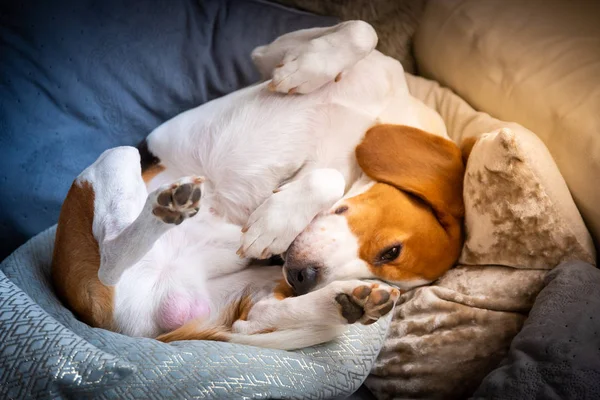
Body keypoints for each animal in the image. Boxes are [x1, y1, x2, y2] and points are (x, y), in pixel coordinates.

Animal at [51, 20, 464, 348]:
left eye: (383, 263)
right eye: (391, 251)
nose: (301, 278)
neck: (385, 110)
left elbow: (328, 176)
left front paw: (274, 223)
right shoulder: (269, 54)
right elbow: (362, 30)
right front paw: (306, 71)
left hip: (238, 291)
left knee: (255, 318)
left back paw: (349, 302)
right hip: (117, 158)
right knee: (110, 258)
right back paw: (168, 206)